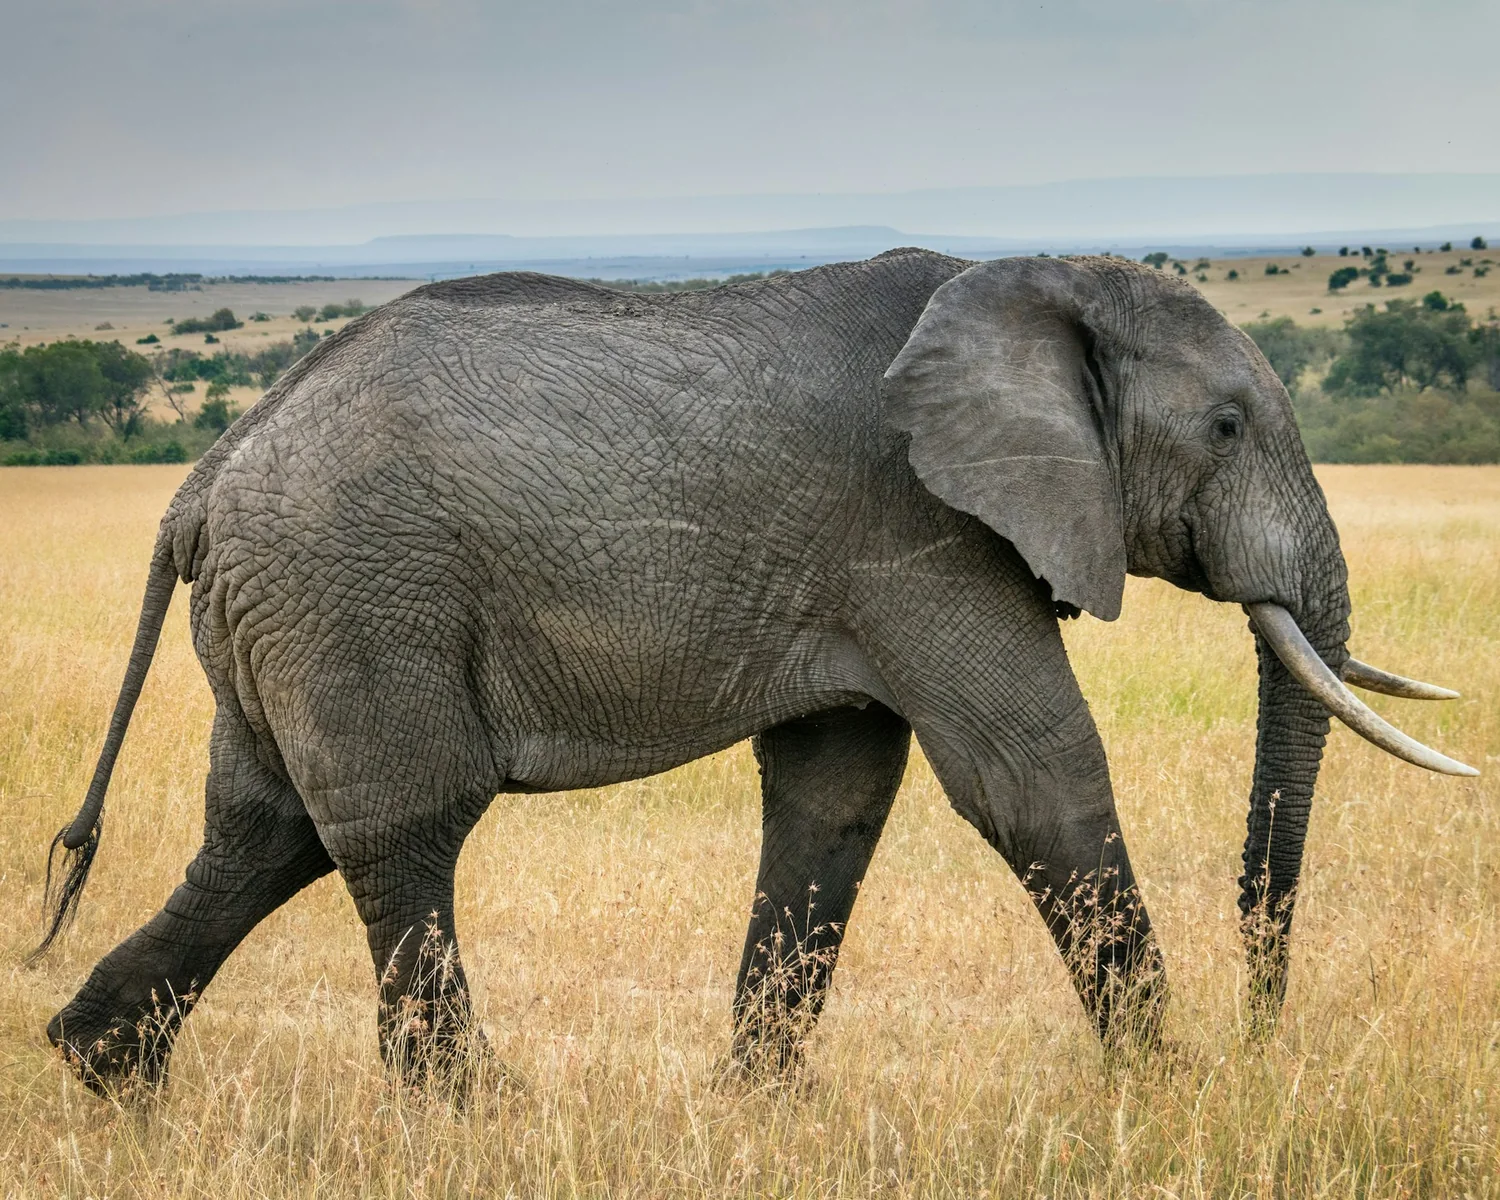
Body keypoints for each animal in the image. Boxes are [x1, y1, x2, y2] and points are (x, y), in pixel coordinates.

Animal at [36, 250, 1474, 1093]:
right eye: (1226, 426)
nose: (1265, 1035)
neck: (1025, 283)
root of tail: (206, 478)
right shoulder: (918, 529)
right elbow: (1033, 777)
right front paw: (1165, 1090)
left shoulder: (863, 568)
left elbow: (835, 797)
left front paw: (758, 1105)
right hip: (355, 593)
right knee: (400, 828)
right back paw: (470, 1118)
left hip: (287, 614)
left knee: (262, 834)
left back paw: (102, 1078)